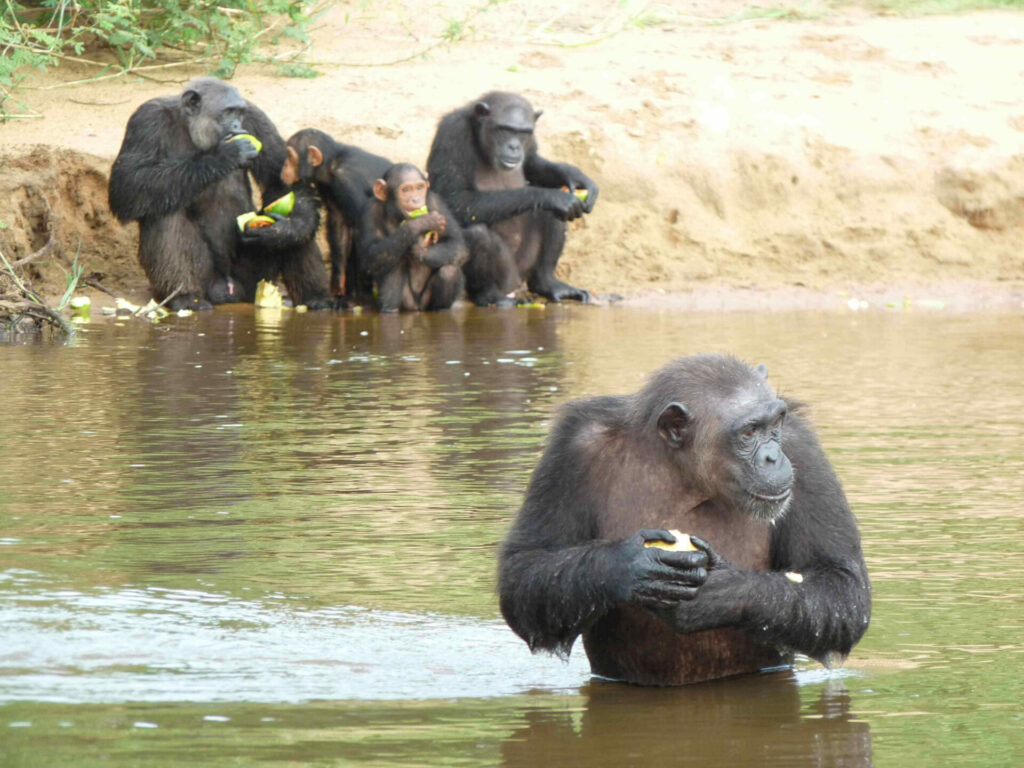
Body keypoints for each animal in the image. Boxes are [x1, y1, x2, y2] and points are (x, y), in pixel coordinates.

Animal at [104, 75, 327, 309]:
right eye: (228, 112)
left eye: (239, 112)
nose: (237, 124)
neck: (190, 126)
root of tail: (228, 290)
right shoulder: (146, 120)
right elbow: (129, 182)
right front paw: (225, 154)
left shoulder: (257, 118)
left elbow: (283, 179)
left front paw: (288, 229)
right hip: (206, 278)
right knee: (163, 210)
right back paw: (185, 297)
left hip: (256, 279)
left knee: (302, 221)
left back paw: (316, 298)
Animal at [280, 129, 391, 307]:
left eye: (290, 155)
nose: (284, 165)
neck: (331, 164)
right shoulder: (327, 187)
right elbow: (339, 225)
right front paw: (338, 284)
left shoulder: (348, 181)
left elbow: (361, 230)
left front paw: (361, 299)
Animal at [356, 164, 468, 313]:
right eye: (406, 190)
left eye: (420, 188)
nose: (416, 199)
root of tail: (417, 308)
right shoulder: (370, 209)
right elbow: (371, 254)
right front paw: (421, 223)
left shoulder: (434, 201)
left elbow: (457, 244)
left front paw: (418, 249)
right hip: (407, 302)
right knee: (393, 262)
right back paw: (390, 310)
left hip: (426, 302)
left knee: (449, 271)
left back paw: (441, 309)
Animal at [425, 91, 598, 307]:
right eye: (504, 129)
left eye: (523, 132)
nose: (514, 146)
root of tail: (516, 283)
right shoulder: (452, 134)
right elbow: (456, 198)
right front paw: (553, 197)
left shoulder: (531, 141)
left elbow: (532, 163)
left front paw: (576, 176)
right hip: (507, 275)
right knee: (476, 233)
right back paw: (490, 296)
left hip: (526, 264)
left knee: (552, 215)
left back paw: (548, 283)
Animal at [495, 354, 872, 684]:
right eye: (749, 432)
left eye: (775, 424)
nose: (772, 457)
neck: (686, 475)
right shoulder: (571, 452)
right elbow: (527, 565)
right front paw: (626, 565)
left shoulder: (803, 453)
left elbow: (837, 581)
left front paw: (721, 592)